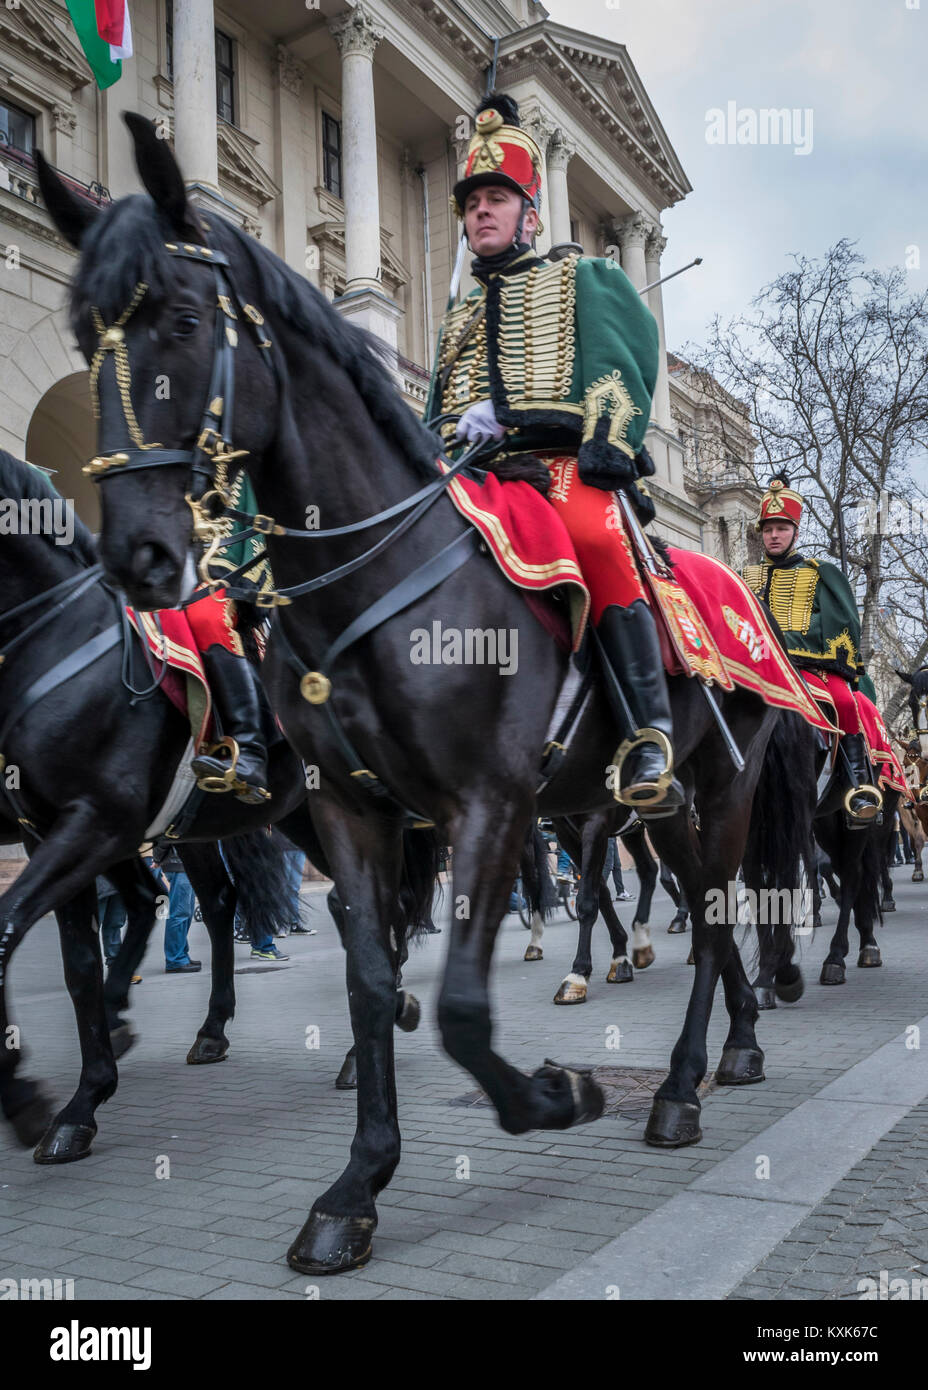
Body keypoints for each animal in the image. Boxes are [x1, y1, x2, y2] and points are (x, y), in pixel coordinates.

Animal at [36, 119, 805, 1273]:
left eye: (181, 318)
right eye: (88, 334)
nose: (141, 556)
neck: (381, 574)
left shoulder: (490, 805)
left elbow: (461, 1009)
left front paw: (558, 1094)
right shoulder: (353, 810)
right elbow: (369, 981)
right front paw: (355, 1187)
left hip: (718, 790)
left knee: (714, 917)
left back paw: (677, 1087)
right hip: (654, 814)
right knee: (704, 915)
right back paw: (731, 1050)